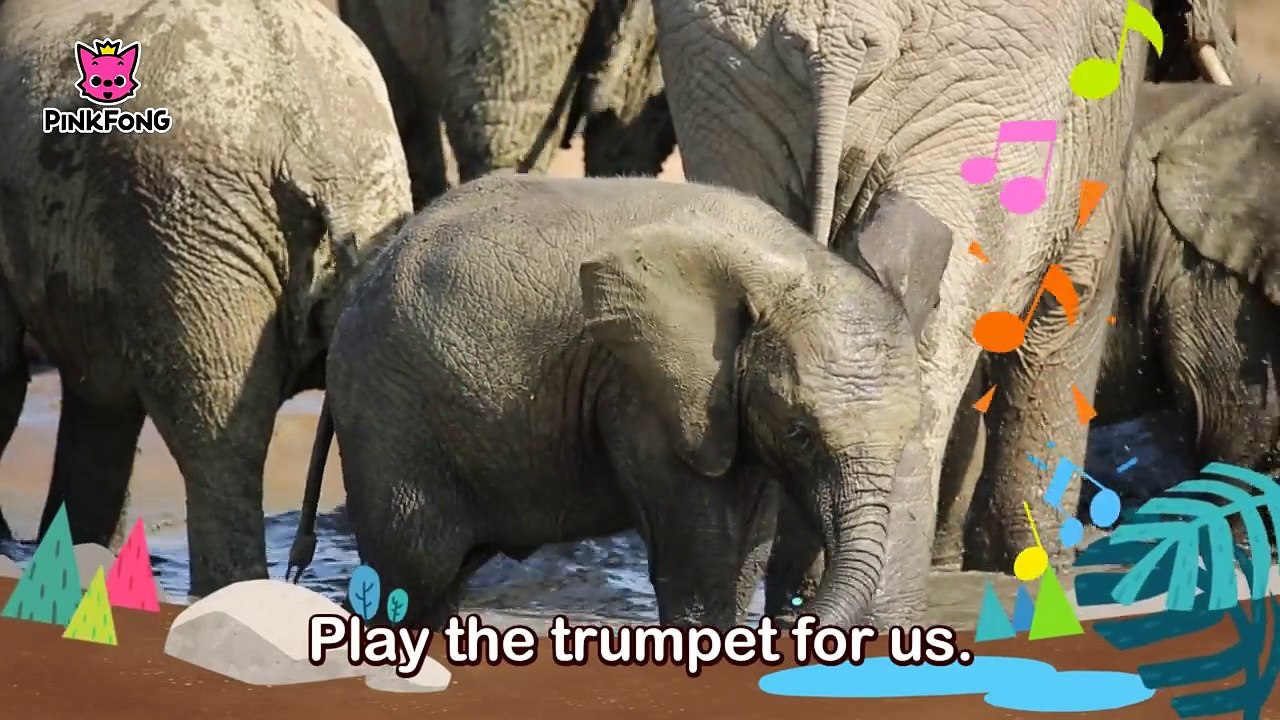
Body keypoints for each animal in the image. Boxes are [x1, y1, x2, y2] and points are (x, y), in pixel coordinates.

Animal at [287, 173, 953, 629]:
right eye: (800, 432)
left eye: (909, 434)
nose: (791, 619)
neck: (789, 261)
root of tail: (363, 283)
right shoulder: (642, 389)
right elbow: (700, 557)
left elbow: (743, 549)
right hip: (390, 412)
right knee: (412, 569)